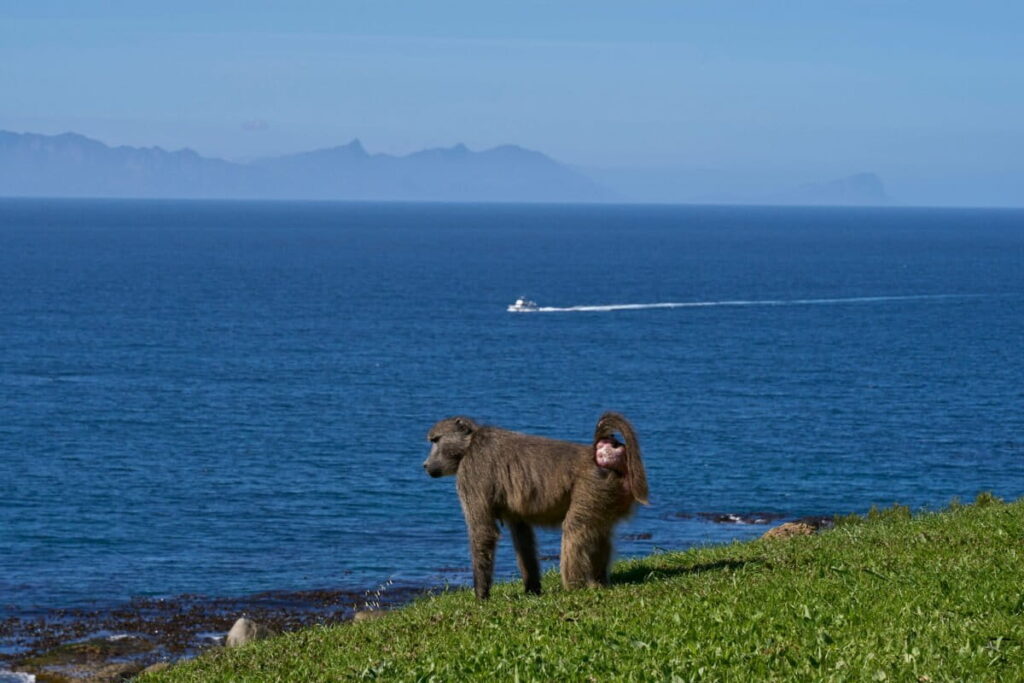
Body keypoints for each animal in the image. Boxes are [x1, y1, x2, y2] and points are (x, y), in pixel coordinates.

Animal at [423, 412, 648, 600]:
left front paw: (481, 596)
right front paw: (532, 589)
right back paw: (598, 583)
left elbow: (483, 532)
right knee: (599, 532)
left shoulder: (472, 472)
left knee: (574, 530)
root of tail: (597, 455)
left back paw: (575, 588)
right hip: (607, 496)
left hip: (592, 487)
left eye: (436, 440)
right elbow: (523, 536)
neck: (469, 444)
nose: (425, 465)